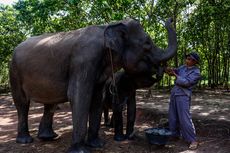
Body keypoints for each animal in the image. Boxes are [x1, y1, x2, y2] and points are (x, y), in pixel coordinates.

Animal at [9, 17, 176, 152]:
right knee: (22, 104)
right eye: (147, 44)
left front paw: (97, 145)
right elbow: (79, 95)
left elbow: (97, 98)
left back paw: (48, 137)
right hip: (14, 71)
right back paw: (25, 140)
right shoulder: (83, 60)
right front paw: (80, 151)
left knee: (50, 104)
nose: (171, 19)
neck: (109, 26)